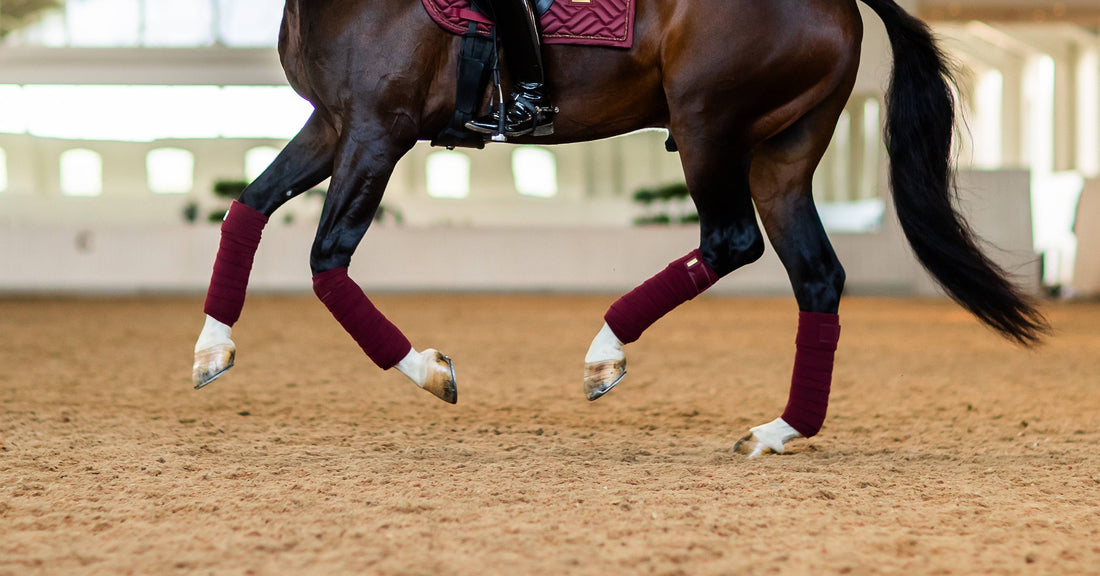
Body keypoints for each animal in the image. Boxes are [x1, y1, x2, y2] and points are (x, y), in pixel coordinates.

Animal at [191, 0, 1047, 459]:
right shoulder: (333, 125)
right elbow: (247, 209)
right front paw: (211, 351)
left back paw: (607, 352)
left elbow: (326, 260)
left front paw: (432, 370)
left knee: (732, 243)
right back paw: (778, 430)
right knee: (816, 277)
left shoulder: (376, 129)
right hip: (782, 152)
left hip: (708, 125)